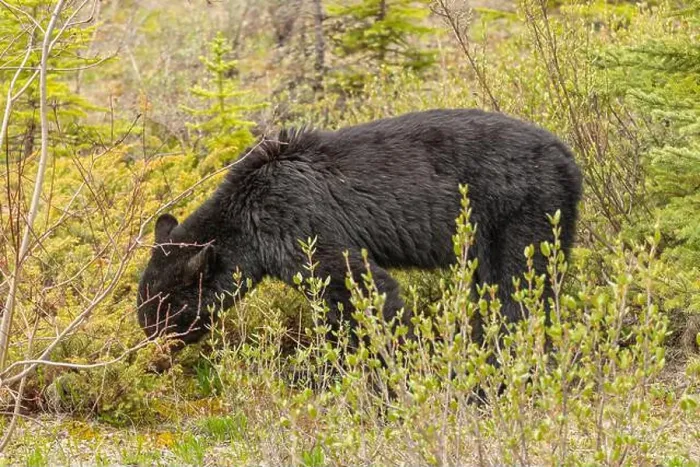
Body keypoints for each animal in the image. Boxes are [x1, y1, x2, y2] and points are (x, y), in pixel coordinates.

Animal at [137, 109, 582, 349]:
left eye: (168, 314)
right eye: (145, 310)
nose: (154, 345)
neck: (245, 215)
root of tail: (569, 158)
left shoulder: (294, 222)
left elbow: (359, 284)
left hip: (519, 211)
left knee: (516, 288)